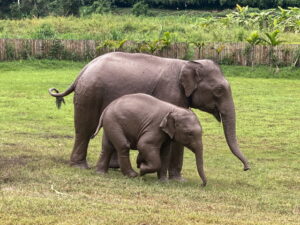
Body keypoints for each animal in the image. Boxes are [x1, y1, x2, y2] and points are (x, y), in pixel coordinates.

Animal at [49, 51, 250, 178]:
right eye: (219, 90)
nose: (246, 168)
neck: (188, 63)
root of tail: (84, 69)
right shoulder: (170, 92)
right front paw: (176, 179)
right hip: (90, 93)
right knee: (85, 129)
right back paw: (80, 166)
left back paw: (113, 167)